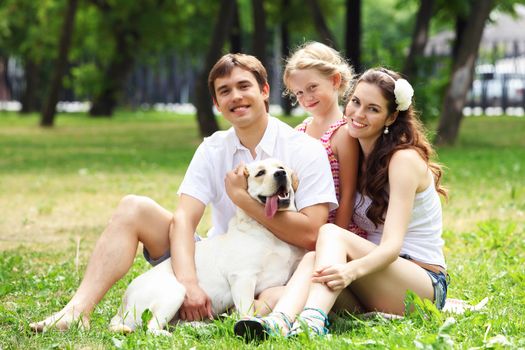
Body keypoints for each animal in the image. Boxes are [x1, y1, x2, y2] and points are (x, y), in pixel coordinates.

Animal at [110, 158, 304, 334]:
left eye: (281, 167)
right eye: (260, 173)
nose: (280, 174)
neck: (267, 230)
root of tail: (122, 308)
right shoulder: (242, 277)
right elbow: (246, 309)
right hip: (176, 291)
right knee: (151, 329)